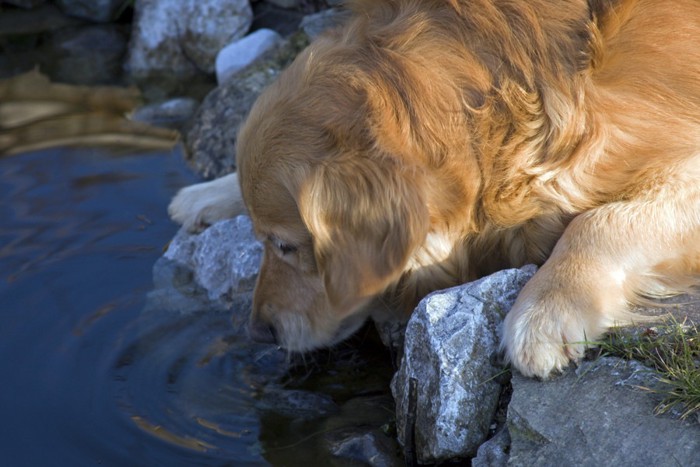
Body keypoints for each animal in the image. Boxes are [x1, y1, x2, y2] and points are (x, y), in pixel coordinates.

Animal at [170, 0, 700, 378]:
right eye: (264, 240)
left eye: (286, 246)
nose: (259, 332)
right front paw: (209, 193)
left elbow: (596, 220)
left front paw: (547, 308)